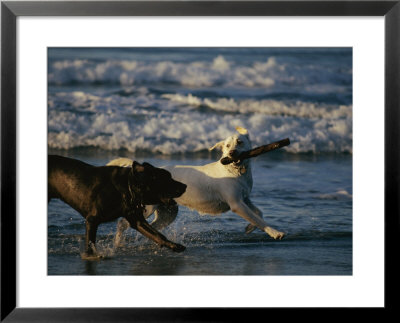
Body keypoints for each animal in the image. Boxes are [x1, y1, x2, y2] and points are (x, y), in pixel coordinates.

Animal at [48, 156, 188, 260]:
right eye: (168, 179)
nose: (185, 186)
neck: (128, 186)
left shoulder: (137, 220)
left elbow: (157, 234)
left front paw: (174, 245)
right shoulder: (92, 220)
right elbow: (90, 242)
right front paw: (91, 255)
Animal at [109, 126, 284, 243]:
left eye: (240, 142)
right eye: (227, 145)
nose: (231, 153)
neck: (234, 170)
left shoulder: (245, 199)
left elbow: (259, 213)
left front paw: (249, 228)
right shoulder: (236, 204)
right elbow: (258, 219)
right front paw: (275, 232)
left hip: (168, 213)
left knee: (151, 226)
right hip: (148, 207)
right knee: (123, 223)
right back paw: (118, 244)